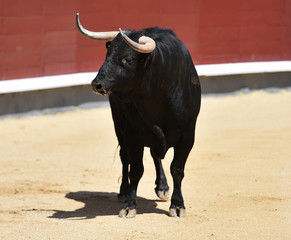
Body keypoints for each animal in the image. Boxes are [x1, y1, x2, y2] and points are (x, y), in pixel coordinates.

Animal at [76, 13, 202, 218]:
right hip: (119, 124)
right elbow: (135, 170)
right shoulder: (132, 135)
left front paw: (177, 205)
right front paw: (129, 205)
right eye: (107, 55)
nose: (97, 84)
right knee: (125, 157)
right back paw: (124, 191)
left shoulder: (187, 135)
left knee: (155, 156)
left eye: (126, 59)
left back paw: (162, 187)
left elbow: (177, 169)